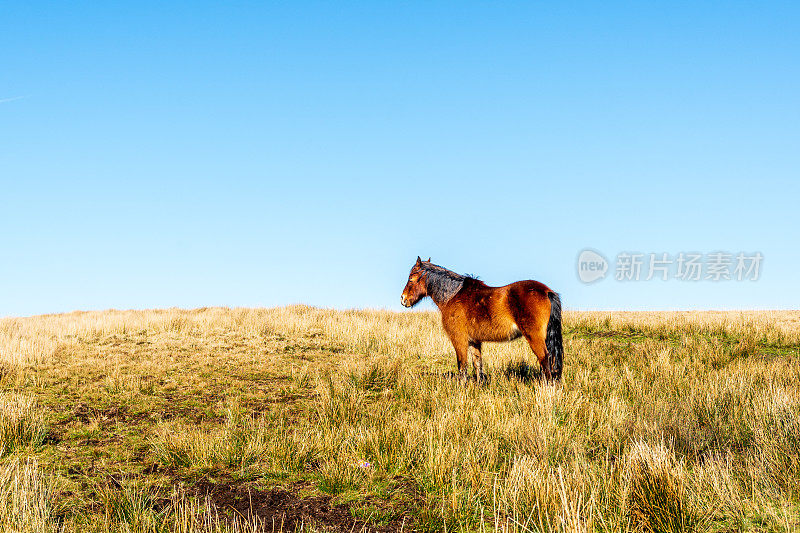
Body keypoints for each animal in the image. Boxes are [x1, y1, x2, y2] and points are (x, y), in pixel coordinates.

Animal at [400, 258, 564, 382]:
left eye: (411, 279)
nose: (403, 299)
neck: (454, 295)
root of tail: (546, 291)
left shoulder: (459, 340)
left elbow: (462, 366)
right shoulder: (474, 341)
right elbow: (477, 365)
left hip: (535, 338)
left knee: (545, 360)